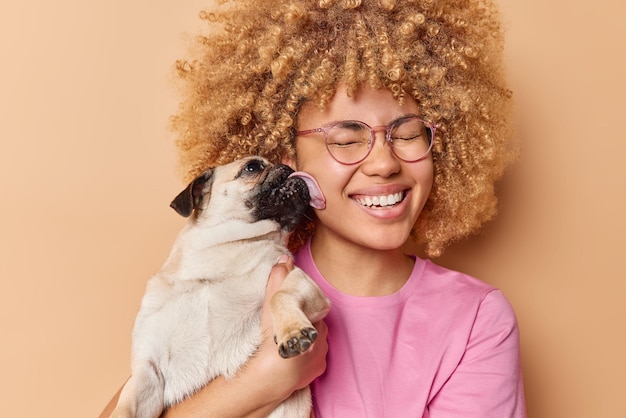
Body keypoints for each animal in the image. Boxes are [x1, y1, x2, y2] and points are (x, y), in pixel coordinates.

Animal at [109, 156, 330, 418]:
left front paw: (292, 330)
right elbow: (126, 408)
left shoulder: (297, 278)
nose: (287, 167)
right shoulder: (148, 370)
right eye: (252, 167)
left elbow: (280, 295)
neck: (218, 260)